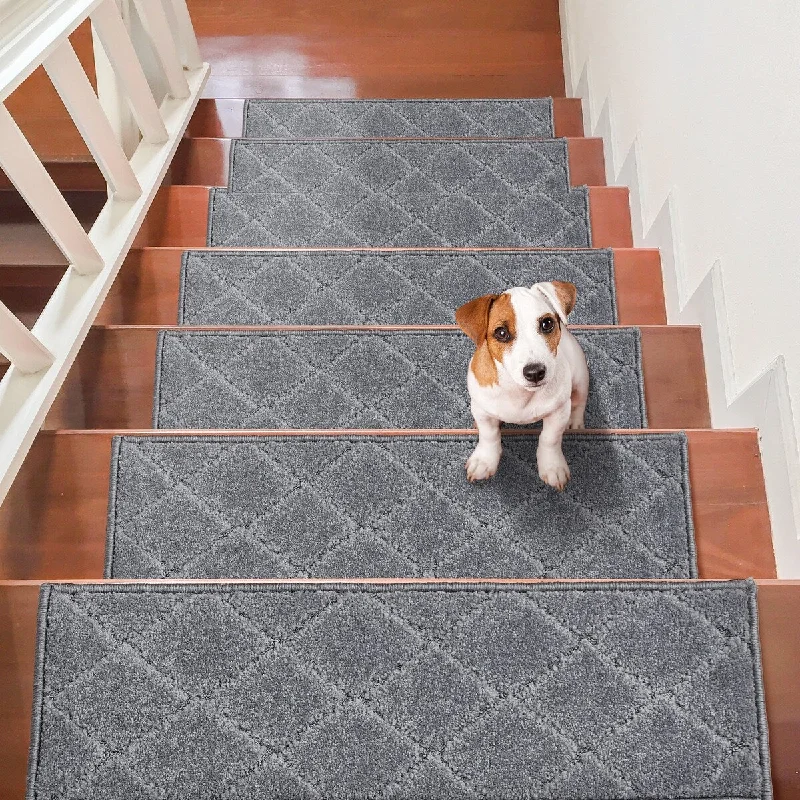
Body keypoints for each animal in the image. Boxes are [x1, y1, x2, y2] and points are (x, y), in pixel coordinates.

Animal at [454, 284, 592, 490]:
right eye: (501, 333)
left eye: (547, 324)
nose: (535, 372)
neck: (519, 392)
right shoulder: (481, 409)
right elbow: (489, 435)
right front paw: (484, 461)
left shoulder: (558, 412)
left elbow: (550, 438)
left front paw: (552, 467)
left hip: (581, 378)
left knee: (579, 402)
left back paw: (575, 423)